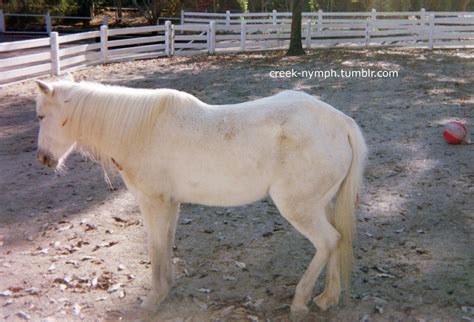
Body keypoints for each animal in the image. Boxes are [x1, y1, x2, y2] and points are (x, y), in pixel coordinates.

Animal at [35, 75, 368, 320]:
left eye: (41, 116)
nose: (43, 159)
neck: (142, 130)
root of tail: (341, 123)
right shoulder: (170, 204)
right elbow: (166, 243)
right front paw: (166, 289)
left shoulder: (152, 202)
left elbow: (154, 247)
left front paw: (152, 300)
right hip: (321, 205)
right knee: (337, 240)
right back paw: (328, 297)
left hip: (300, 209)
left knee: (327, 241)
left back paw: (300, 302)